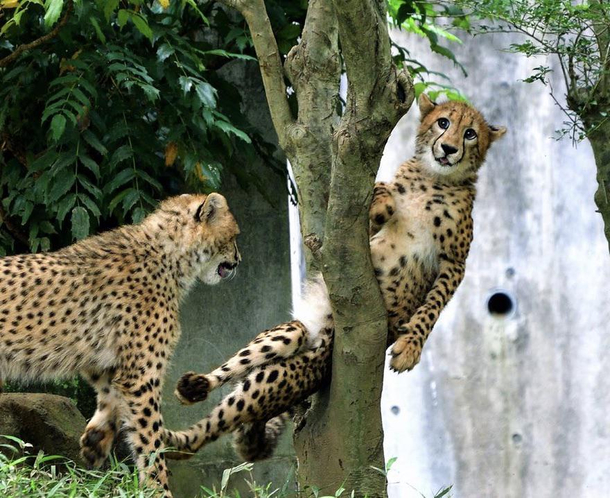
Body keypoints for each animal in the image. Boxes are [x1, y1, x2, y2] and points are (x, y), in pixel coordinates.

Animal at [0, 194, 241, 494]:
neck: (170, 256)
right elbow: (150, 438)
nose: (238, 260)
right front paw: (158, 487)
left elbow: (110, 398)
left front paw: (95, 441)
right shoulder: (142, 376)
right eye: (234, 236)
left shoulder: (105, 363)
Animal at [162, 93, 504, 460]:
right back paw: (187, 396)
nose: (450, 149)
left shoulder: (454, 263)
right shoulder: (354, 243)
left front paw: (410, 348)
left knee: (224, 420)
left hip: (301, 365)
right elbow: (373, 206)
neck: (433, 178)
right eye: (443, 122)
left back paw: (171, 439)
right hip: (288, 334)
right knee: (233, 380)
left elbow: (432, 308)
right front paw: (382, 199)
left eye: (470, 133)